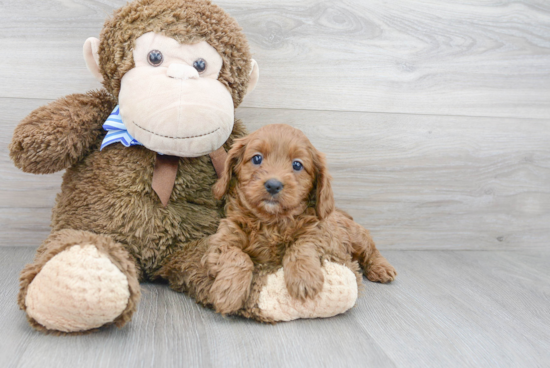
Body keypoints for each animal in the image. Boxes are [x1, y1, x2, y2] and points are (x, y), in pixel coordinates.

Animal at [206, 123, 396, 314]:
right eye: (257, 158)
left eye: (297, 165)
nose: (273, 185)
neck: (271, 222)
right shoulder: (221, 241)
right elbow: (238, 256)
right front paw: (229, 291)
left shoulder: (319, 234)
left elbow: (300, 245)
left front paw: (304, 278)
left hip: (355, 236)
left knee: (371, 250)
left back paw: (382, 268)